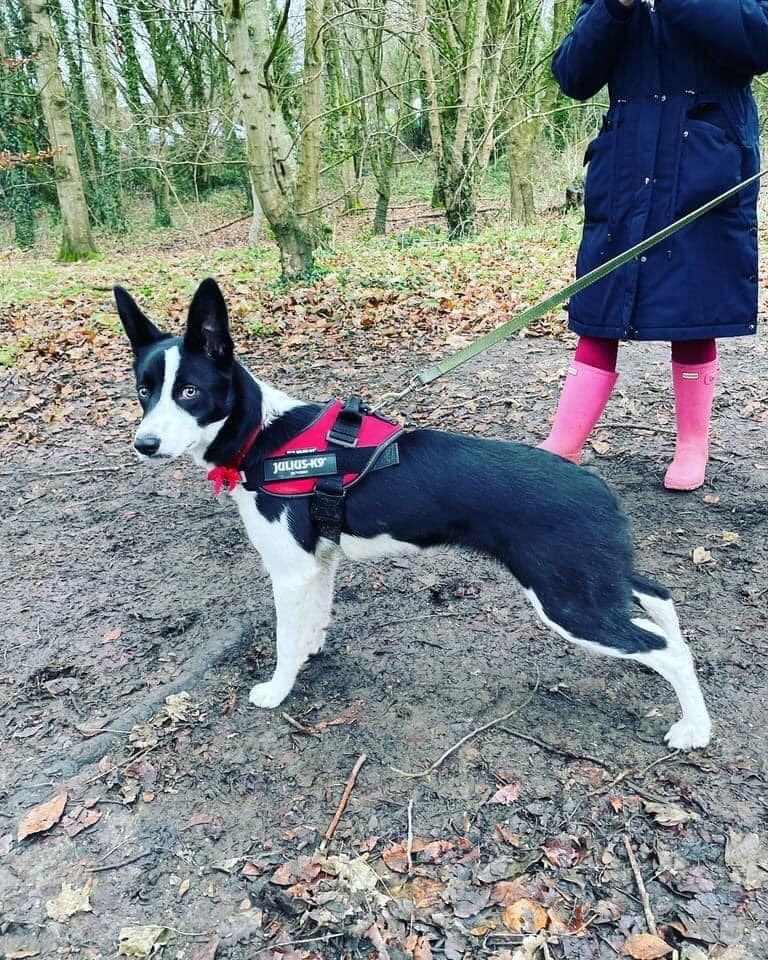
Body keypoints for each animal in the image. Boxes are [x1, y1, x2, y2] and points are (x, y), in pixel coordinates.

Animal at [115, 278, 712, 752]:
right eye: (145, 391)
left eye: (189, 391)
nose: (145, 444)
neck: (263, 436)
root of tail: (595, 487)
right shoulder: (319, 562)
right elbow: (315, 619)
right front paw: (310, 650)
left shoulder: (290, 571)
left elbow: (285, 638)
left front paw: (277, 689)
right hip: (592, 578)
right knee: (660, 600)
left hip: (567, 602)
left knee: (666, 649)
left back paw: (695, 730)